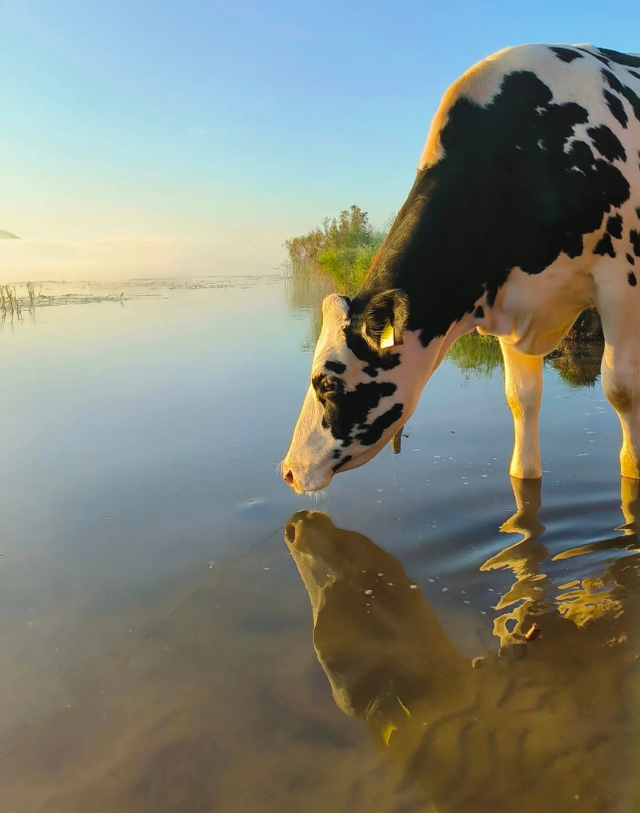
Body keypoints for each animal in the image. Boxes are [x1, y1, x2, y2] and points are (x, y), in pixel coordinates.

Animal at [281, 43, 640, 493]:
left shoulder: (620, 281)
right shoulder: (510, 299)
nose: (288, 469)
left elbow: (622, 390)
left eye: (328, 382)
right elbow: (521, 400)